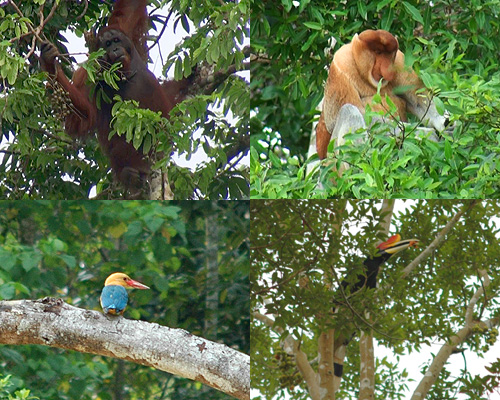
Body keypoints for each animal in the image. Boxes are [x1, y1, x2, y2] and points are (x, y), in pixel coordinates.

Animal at [314, 29, 448, 159]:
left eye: (389, 54)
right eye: (378, 52)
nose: (387, 69)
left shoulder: (399, 61)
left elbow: (418, 102)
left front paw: (445, 123)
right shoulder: (341, 66)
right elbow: (339, 119)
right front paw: (424, 133)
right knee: (348, 111)